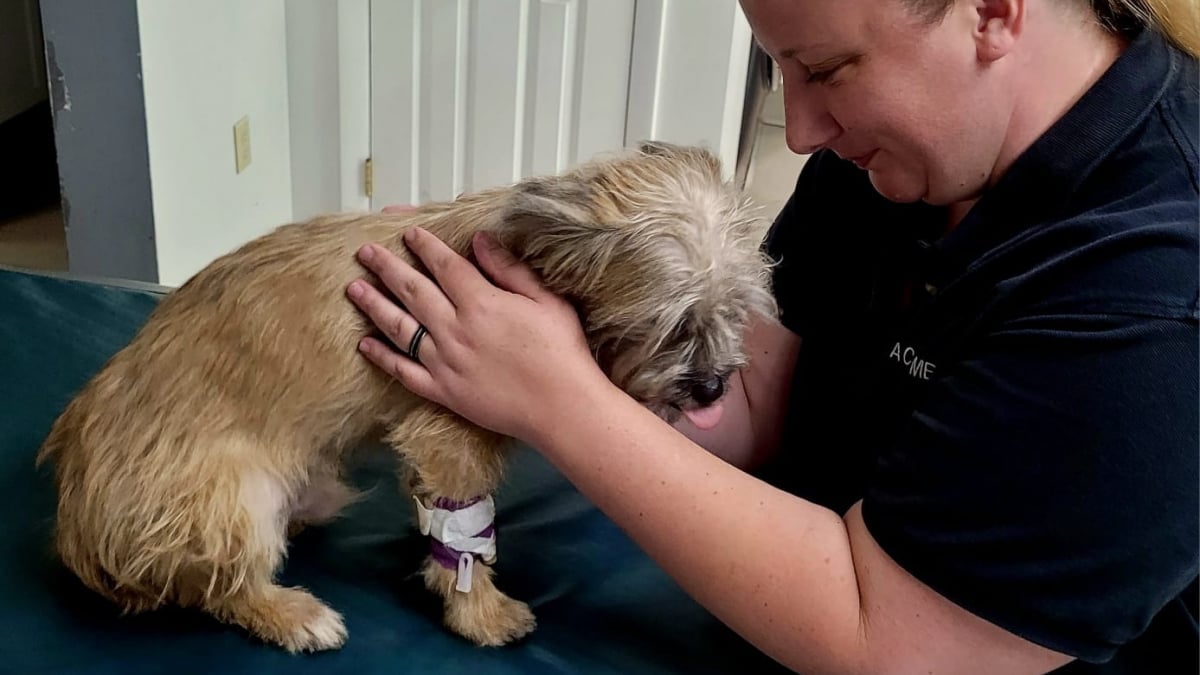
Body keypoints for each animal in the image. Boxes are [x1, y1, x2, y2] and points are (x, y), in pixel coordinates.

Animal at [35, 140, 777, 653]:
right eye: (672, 324)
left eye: (737, 312)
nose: (713, 388)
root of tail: (78, 529)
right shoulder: (450, 436)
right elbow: (465, 542)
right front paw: (478, 612)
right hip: (233, 497)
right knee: (216, 585)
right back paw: (291, 613)